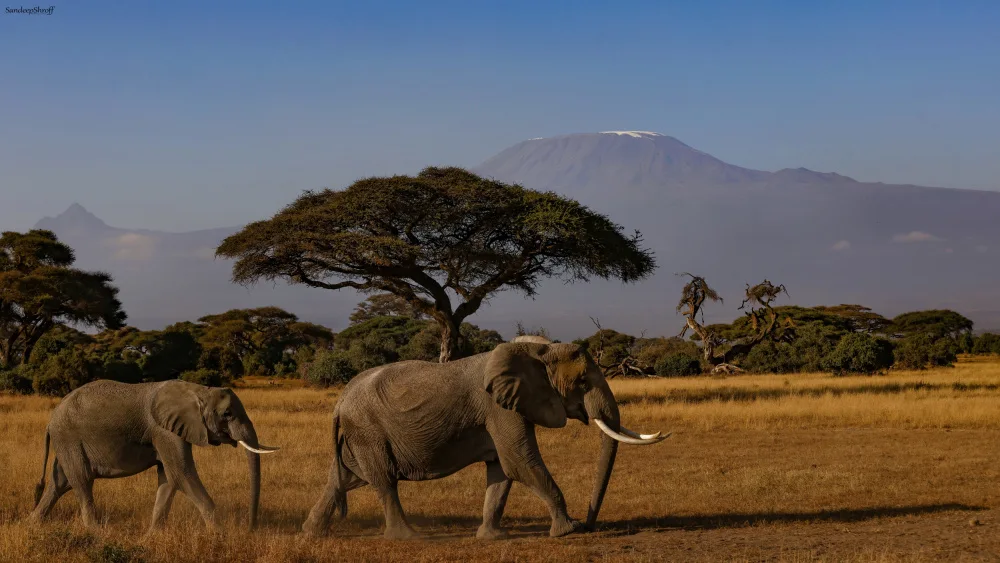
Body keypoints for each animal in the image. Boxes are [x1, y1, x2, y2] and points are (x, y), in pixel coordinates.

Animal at [28, 379, 279, 533]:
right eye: (227, 414)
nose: (250, 529)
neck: (199, 391)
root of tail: (50, 420)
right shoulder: (164, 430)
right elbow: (182, 474)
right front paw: (219, 535)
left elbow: (168, 478)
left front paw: (151, 536)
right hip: (69, 438)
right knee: (81, 481)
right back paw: (97, 531)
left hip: (67, 442)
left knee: (61, 483)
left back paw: (32, 523)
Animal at [301, 337, 668, 540]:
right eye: (582, 381)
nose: (591, 525)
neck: (536, 350)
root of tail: (339, 402)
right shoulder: (499, 407)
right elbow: (520, 462)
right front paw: (568, 531)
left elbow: (502, 470)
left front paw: (492, 537)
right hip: (368, 430)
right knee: (383, 481)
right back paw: (406, 538)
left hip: (358, 435)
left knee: (346, 478)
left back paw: (312, 532)